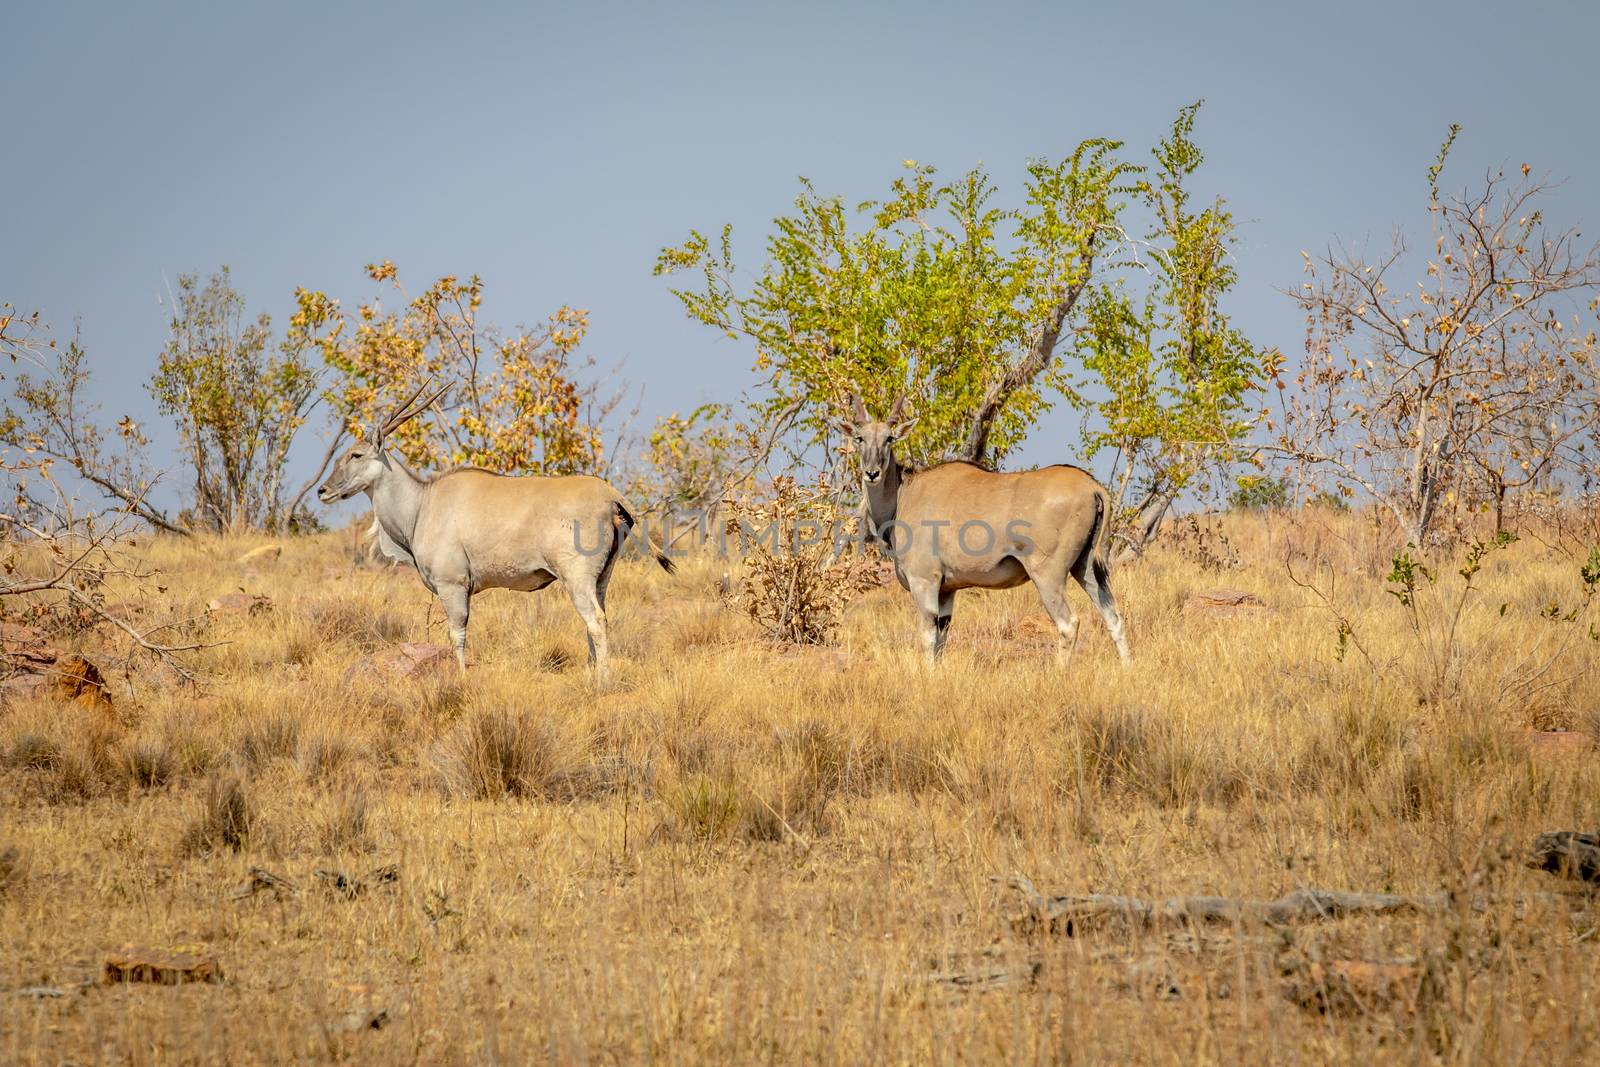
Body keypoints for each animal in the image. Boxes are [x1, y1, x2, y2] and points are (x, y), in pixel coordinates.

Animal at [318, 385, 675, 675]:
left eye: (356, 454)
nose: (323, 491)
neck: (422, 504)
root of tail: (610, 494)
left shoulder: (453, 586)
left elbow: (457, 635)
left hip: (577, 578)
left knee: (596, 622)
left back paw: (602, 680)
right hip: (601, 579)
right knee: (599, 619)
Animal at [832, 396, 1132, 668]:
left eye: (890, 439)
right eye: (859, 438)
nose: (872, 473)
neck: (905, 493)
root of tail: (1092, 486)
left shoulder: (924, 582)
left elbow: (928, 637)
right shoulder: (947, 591)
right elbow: (941, 639)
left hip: (1048, 575)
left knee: (1068, 624)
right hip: (1086, 568)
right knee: (1114, 617)